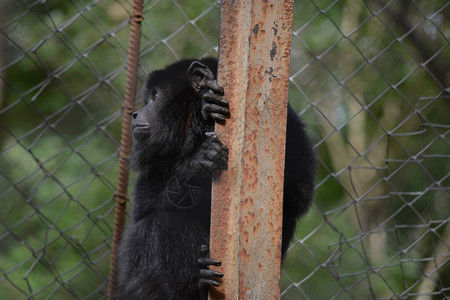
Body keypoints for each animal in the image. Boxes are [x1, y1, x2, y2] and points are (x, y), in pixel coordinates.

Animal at [118, 57, 314, 298]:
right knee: (159, 224)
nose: (135, 114)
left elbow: (297, 186)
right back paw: (199, 280)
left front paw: (206, 104)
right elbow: (143, 208)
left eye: (155, 96)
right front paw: (197, 162)